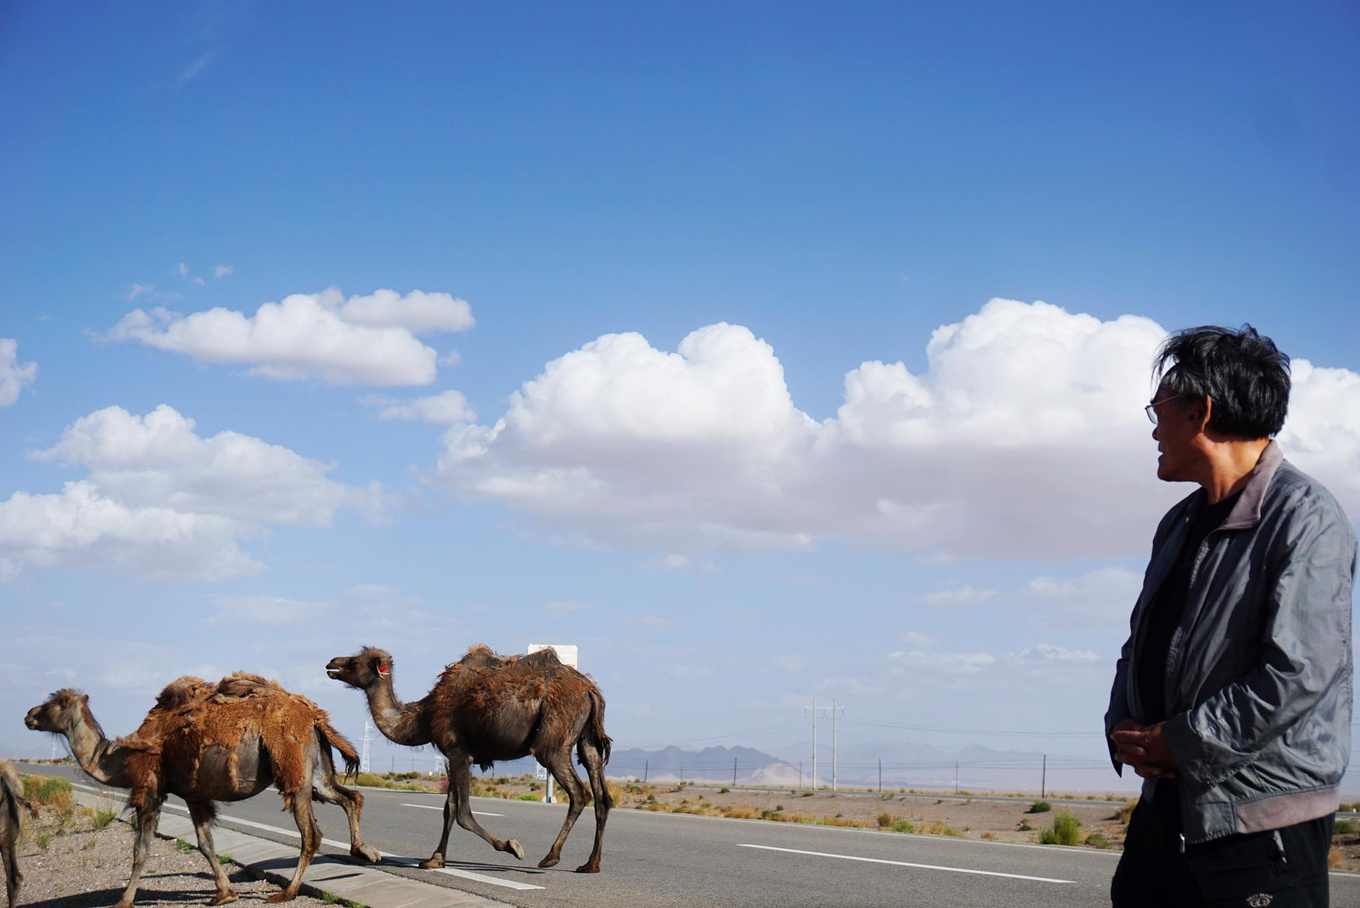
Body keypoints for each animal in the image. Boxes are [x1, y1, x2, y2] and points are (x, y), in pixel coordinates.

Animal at [22, 671, 383, 902]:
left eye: (56, 703)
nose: (28, 715)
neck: (119, 759)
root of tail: (315, 718)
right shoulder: (194, 795)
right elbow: (205, 844)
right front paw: (224, 894)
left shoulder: (151, 789)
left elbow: (141, 849)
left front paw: (123, 899)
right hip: (316, 766)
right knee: (348, 796)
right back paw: (364, 851)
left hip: (291, 762)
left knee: (311, 833)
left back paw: (286, 893)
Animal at [323, 644, 612, 869]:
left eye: (355, 661)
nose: (331, 663)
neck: (425, 715)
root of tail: (590, 690)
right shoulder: (454, 756)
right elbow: (448, 808)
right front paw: (435, 859)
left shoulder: (458, 752)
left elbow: (461, 812)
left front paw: (512, 846)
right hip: (587, 739)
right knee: (601, 794)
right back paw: (590, 864)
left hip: (553, 742)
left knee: (579, 793)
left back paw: (550, 857)